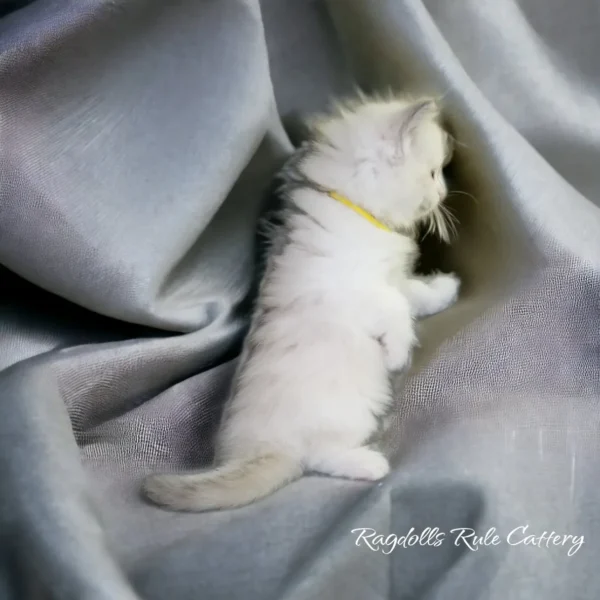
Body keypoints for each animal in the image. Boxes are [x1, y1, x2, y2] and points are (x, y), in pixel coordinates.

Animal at [142, 94, 460, 510]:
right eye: (435, 173)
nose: (443, 194)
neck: (356, 211)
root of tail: (262, 449)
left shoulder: (394, 280)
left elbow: (415, 298)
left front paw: (447, 290)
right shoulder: (361, 291)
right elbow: (396, 312)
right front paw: (398, 355)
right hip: (346, 412)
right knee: (318, 457)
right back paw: (371, 463)